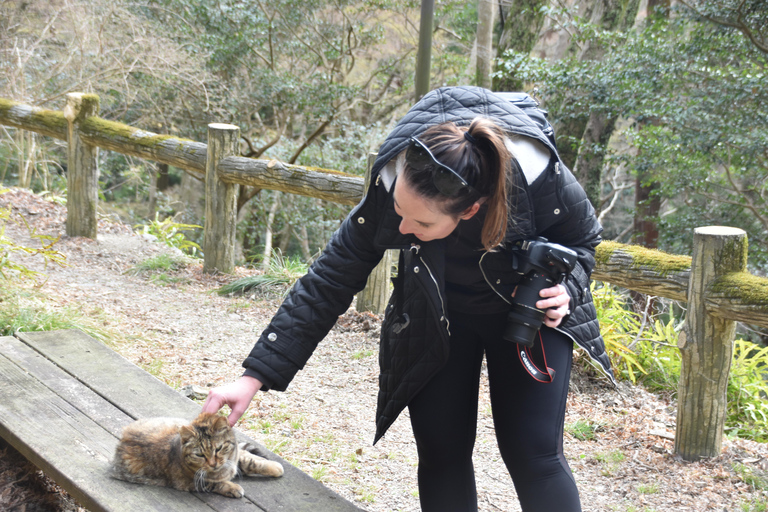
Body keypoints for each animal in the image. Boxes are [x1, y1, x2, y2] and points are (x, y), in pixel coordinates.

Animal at [109, 410, 284, 498]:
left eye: (218, 449)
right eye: (200, 455)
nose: (213, 463)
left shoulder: (233, 457)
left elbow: (249, 460)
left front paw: (274, 467)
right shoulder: (189, 482)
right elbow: (215, 483)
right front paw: (233, 487)